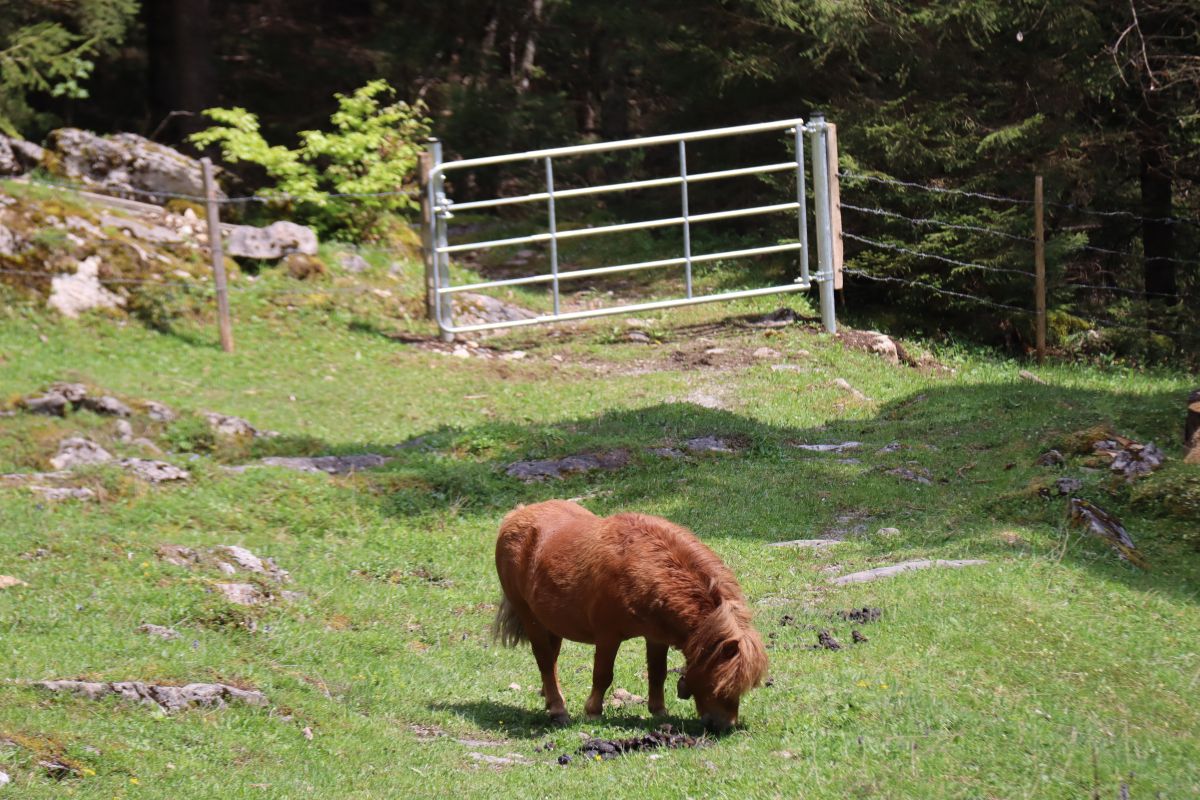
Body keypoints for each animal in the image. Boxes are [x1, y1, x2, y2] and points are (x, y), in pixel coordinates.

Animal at [489, 501, 763, 734]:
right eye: (720, 684)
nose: (724, 726)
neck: (641, 567)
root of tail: (516, 515)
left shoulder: (657, 637)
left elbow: (658, 672)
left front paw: (659, 711)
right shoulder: (608, 636)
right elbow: (603, 674)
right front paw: (593, 712)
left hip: (550, 622)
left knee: (551, 661)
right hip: (530, 618)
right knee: (545, 661)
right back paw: (558, 710)